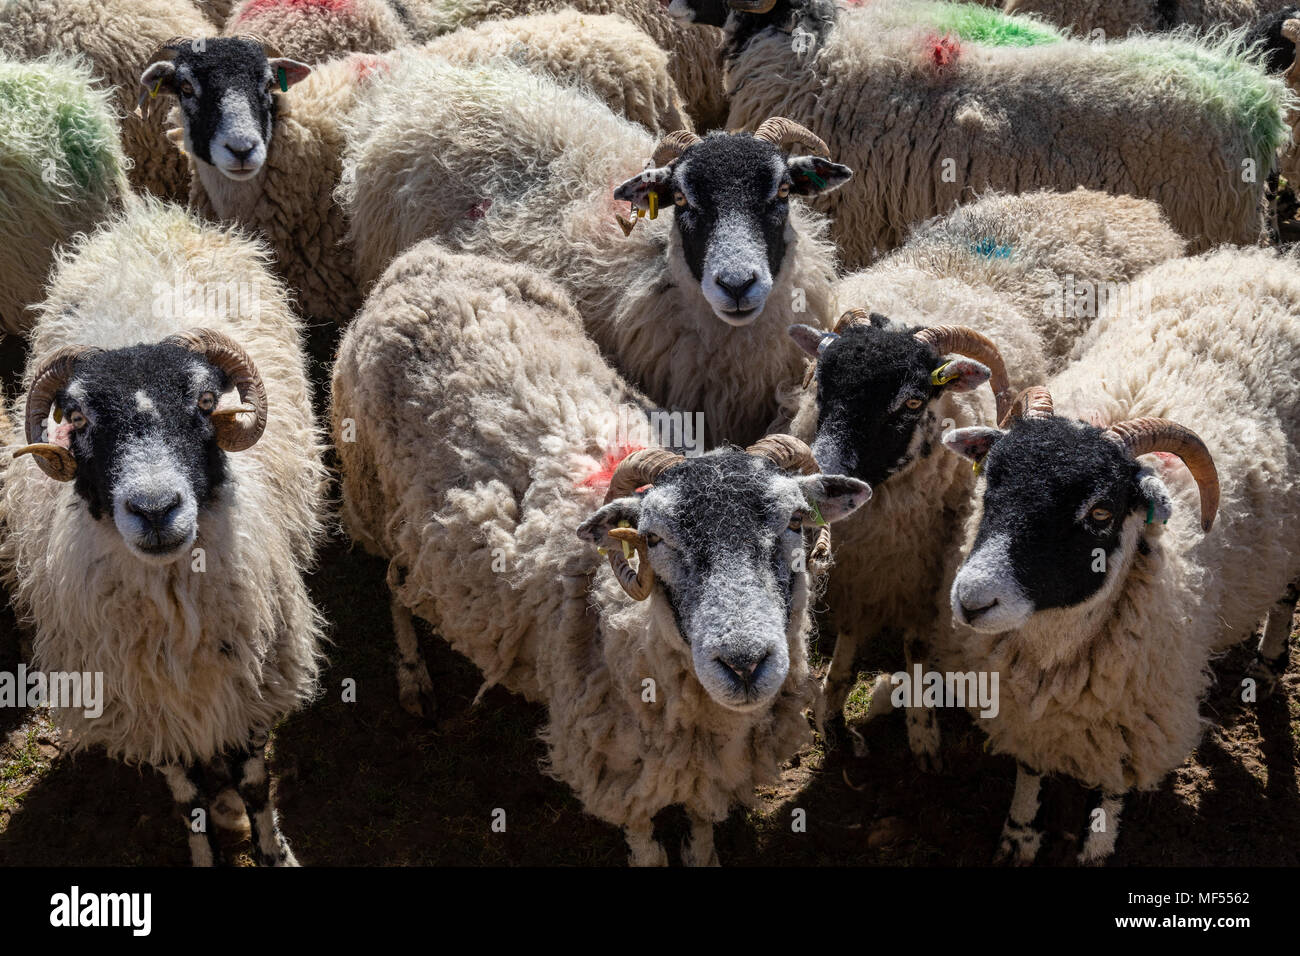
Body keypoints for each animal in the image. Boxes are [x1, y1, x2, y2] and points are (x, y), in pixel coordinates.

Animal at [0, 198, 329, 866]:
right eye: (76, 417)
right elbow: (187, 801)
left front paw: (273, 849)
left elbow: (256, 785)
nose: (155, 509)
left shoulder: (252, 687)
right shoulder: (149, 710)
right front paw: (208, 844)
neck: (174, 598)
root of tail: (149, 216)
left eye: (204, 402)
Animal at [331, 238, 872, 865]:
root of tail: (420, 260)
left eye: (794, 522)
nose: (744, 664)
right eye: (654, 538)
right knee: (394, 585)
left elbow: (701, 827)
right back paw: (413, 677)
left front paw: (703, 851)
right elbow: (647, 845)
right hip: (372, 495)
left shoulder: (708, 770)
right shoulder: (614, 769)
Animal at [781, 187, 1185, 764]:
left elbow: (916, 647)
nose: (827, 473)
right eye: (822, 385)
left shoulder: (931, 578)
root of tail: (1124, 202)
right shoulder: (865, 569)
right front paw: (832, 714)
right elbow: (852, 637)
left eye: (912, 401)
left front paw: (923, 735)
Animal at [937, 245, 1300, 864]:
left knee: (1287, 598)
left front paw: (1096, 850)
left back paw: (1268, 667)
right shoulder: (1026, 713)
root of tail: (1270, 262)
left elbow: (1110, 792)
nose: (972, 600)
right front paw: (1020, 836)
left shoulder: (1132, 722)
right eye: (991, 479)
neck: (1053, 654)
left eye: (1101, 513)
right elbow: (1029, 771)